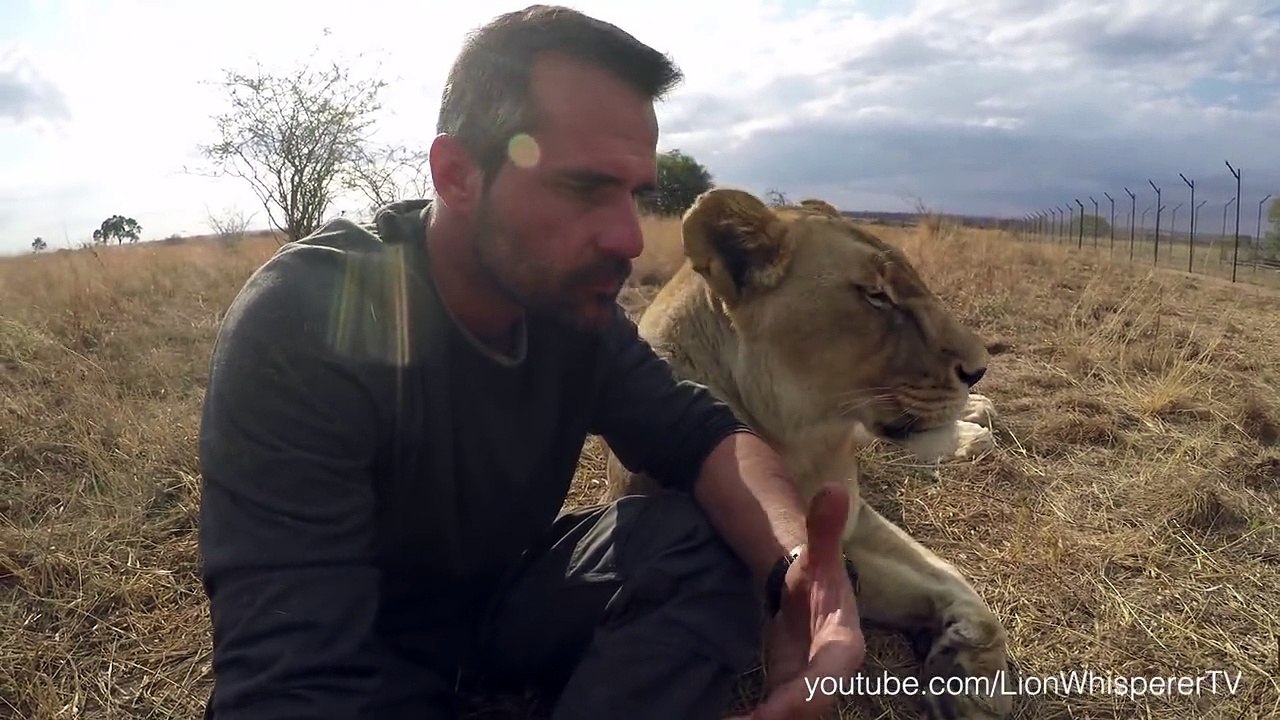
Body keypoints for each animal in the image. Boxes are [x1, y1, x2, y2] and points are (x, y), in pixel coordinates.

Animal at [603, 188, 1012, 720]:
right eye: (876, 295)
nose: (979, 369)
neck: (804, 443)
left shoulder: (856, 515)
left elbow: (953, 577)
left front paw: (974, 675)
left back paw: (977, 417)